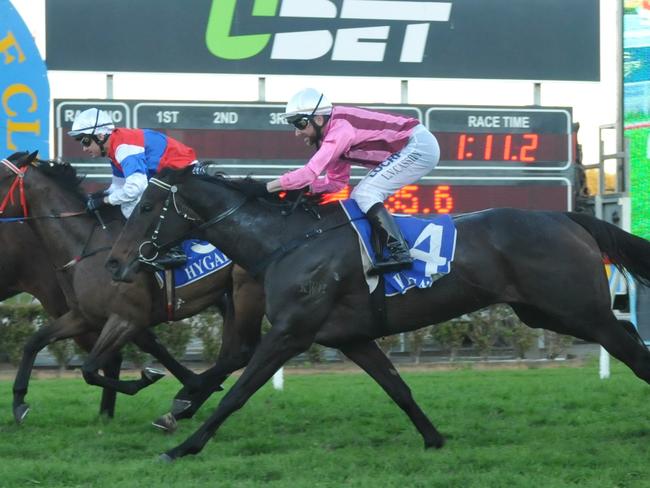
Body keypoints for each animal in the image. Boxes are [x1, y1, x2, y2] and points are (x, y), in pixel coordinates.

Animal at [106, 166, 650, 460]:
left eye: (149, 206)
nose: (115, 262)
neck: (286, 242)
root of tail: (565, 216)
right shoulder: (351, 338)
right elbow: (398, 388)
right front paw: (434, 439)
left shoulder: (291, 333)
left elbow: (237, 394)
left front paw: (183, 445)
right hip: (544, 314)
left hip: (580, 312)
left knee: (632, 351)